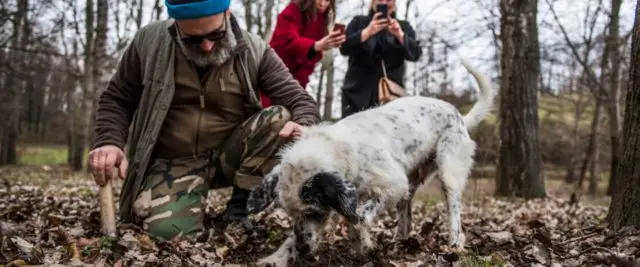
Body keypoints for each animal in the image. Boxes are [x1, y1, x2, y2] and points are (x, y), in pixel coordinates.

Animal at [245, 61, 496, 267]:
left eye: (314, 213)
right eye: (289, 214)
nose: (304, 250)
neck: (338, 148)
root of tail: (460, 116)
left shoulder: (390, 185)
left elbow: (358, 219)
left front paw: (363, 246)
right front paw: (278, 257)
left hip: (448, 173)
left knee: (454, 212)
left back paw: (454, 244)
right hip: (410, 183)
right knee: (406, 215)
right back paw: (399, 241)